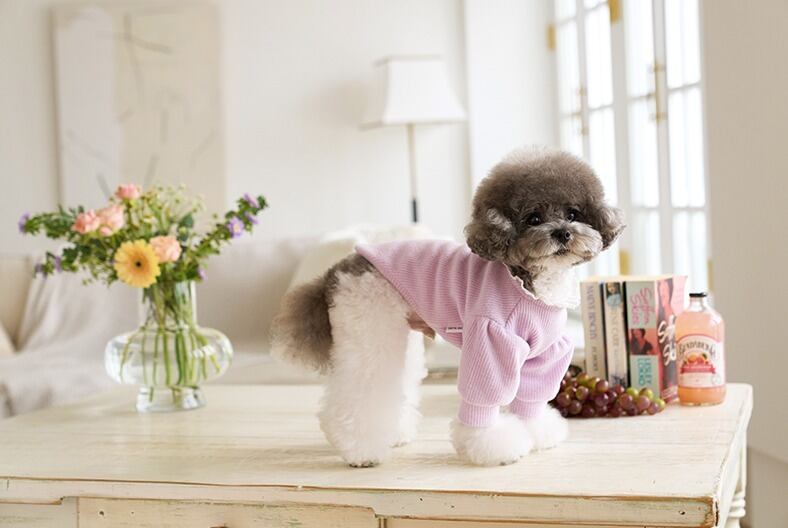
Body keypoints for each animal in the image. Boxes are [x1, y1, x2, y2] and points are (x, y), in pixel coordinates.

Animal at [272, 147, 624, 467]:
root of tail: (337, 270)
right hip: (368, 328)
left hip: (397, 336)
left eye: (574, 213)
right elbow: (483, 397)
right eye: (533, 218)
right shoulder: (489, 339)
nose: (562, 233)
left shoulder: (547, 352)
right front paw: (491, 445)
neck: (528, 282)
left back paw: (394, 434)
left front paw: (537, 432)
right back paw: (361, 451)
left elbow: (532, 396)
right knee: (358, 394)